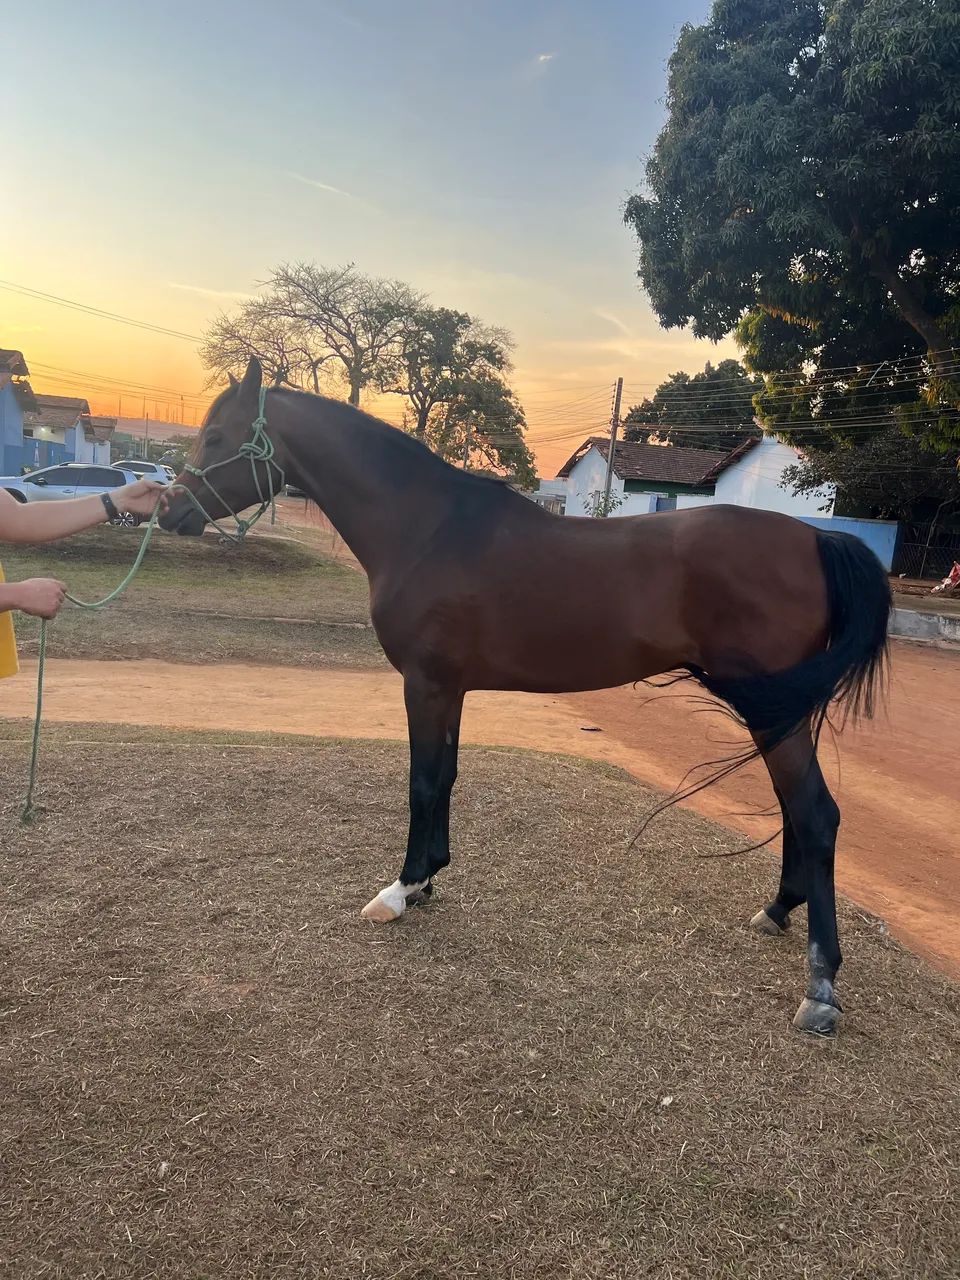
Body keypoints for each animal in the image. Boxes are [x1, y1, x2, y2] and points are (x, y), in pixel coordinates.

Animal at [161, 356, 890, 1037]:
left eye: (217, 435)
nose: (168, 511)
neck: (426, 529)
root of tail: (816, 537)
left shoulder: (425, 684)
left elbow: (421, 781)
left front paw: (400, 888)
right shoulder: (450, 687)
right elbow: (447, 777)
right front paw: (429, 878)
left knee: (816, 814)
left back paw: (820, 988)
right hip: (782, 709)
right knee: (795, 808)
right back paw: (778, 910)